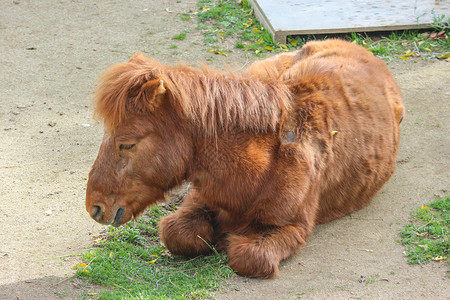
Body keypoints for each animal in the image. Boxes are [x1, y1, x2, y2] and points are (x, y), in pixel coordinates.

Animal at [84, 39, 404, 278]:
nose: (95, 207)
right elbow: (177, 233)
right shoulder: (198, 200)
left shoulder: (293, 228)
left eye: (127, 144)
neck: (261, 167)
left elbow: (250, 257)